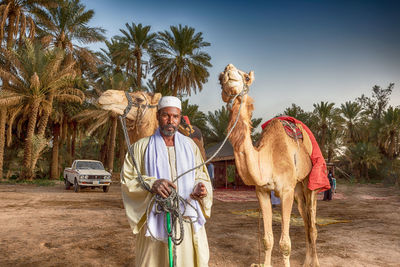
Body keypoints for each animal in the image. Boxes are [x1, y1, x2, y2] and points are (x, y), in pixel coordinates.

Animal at [220, 63, 320, 266]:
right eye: (219, 79)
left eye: (247, 77)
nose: (228, 70)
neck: (268, 158)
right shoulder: (262, 191)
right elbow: (267, 239)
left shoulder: (286, 190)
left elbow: (285, 243)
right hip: (298, 189)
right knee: (305, 219)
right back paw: (306, 261)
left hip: (309, 182)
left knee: (312, 222)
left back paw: (315, 262)